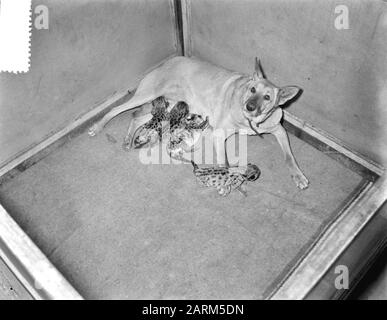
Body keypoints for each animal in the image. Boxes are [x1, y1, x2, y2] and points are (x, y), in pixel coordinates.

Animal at [88, 56, 310, 189]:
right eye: (252, 89)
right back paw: (97, 127)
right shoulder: (219, 135)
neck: (250, 121)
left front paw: (298, 175)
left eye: (267, 97)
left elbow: (289, 157)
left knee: (135, 117)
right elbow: (225, 164)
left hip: (165, 106)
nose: (249, 106)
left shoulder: (279, 130)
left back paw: (128, 139)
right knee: (116, 110)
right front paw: (234, 174)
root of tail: (169, 61)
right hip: (148, 94)